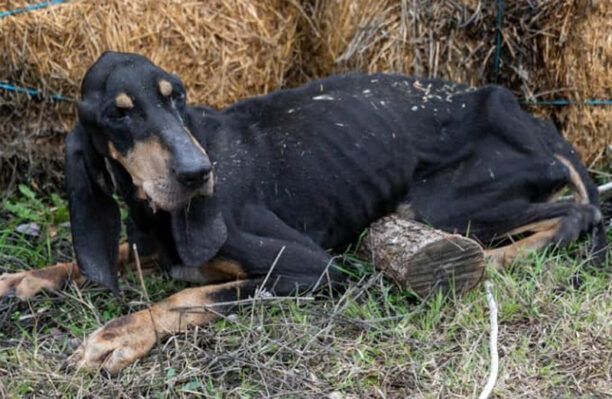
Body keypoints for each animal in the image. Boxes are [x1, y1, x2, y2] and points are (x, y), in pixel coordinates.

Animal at [0, 51, 604, 374]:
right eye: (118, 115)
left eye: (177, 97)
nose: (199, 173)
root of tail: (524, 113)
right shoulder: (151, 245)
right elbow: (107, 256)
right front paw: (25, 278)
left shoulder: (311, 268)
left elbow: (187, 296)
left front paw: (119, 335)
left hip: (435, 203)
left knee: (576, 213)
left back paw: (489, 260)